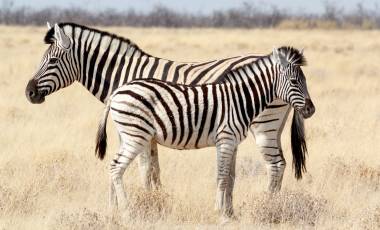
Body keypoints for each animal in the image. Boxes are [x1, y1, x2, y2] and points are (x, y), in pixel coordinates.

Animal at [26, 22, 314, 194]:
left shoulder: (138, 131)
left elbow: (144, 169)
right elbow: (153, 169)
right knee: (279, 164)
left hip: (264, 125)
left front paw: (147, 202)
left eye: (51, 61)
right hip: (274, 127)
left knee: (275, 165)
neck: (126, 73)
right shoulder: (150, 133)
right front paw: (156, 199)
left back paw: (268, 205)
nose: (29, 93)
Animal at [95, 47, 314, 219]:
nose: (311, 110)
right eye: (294, 81)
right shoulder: (225, 139)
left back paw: (113, 210)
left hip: (129, 135)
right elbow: (222, 176)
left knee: (113, 166)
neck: (240, 99)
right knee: (116, 168)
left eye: (304, 80)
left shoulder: (232, 141)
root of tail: (117, 91)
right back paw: (126, 211)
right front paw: (219, 212)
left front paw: (227, 213)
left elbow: (229, 177)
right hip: (136, 136)